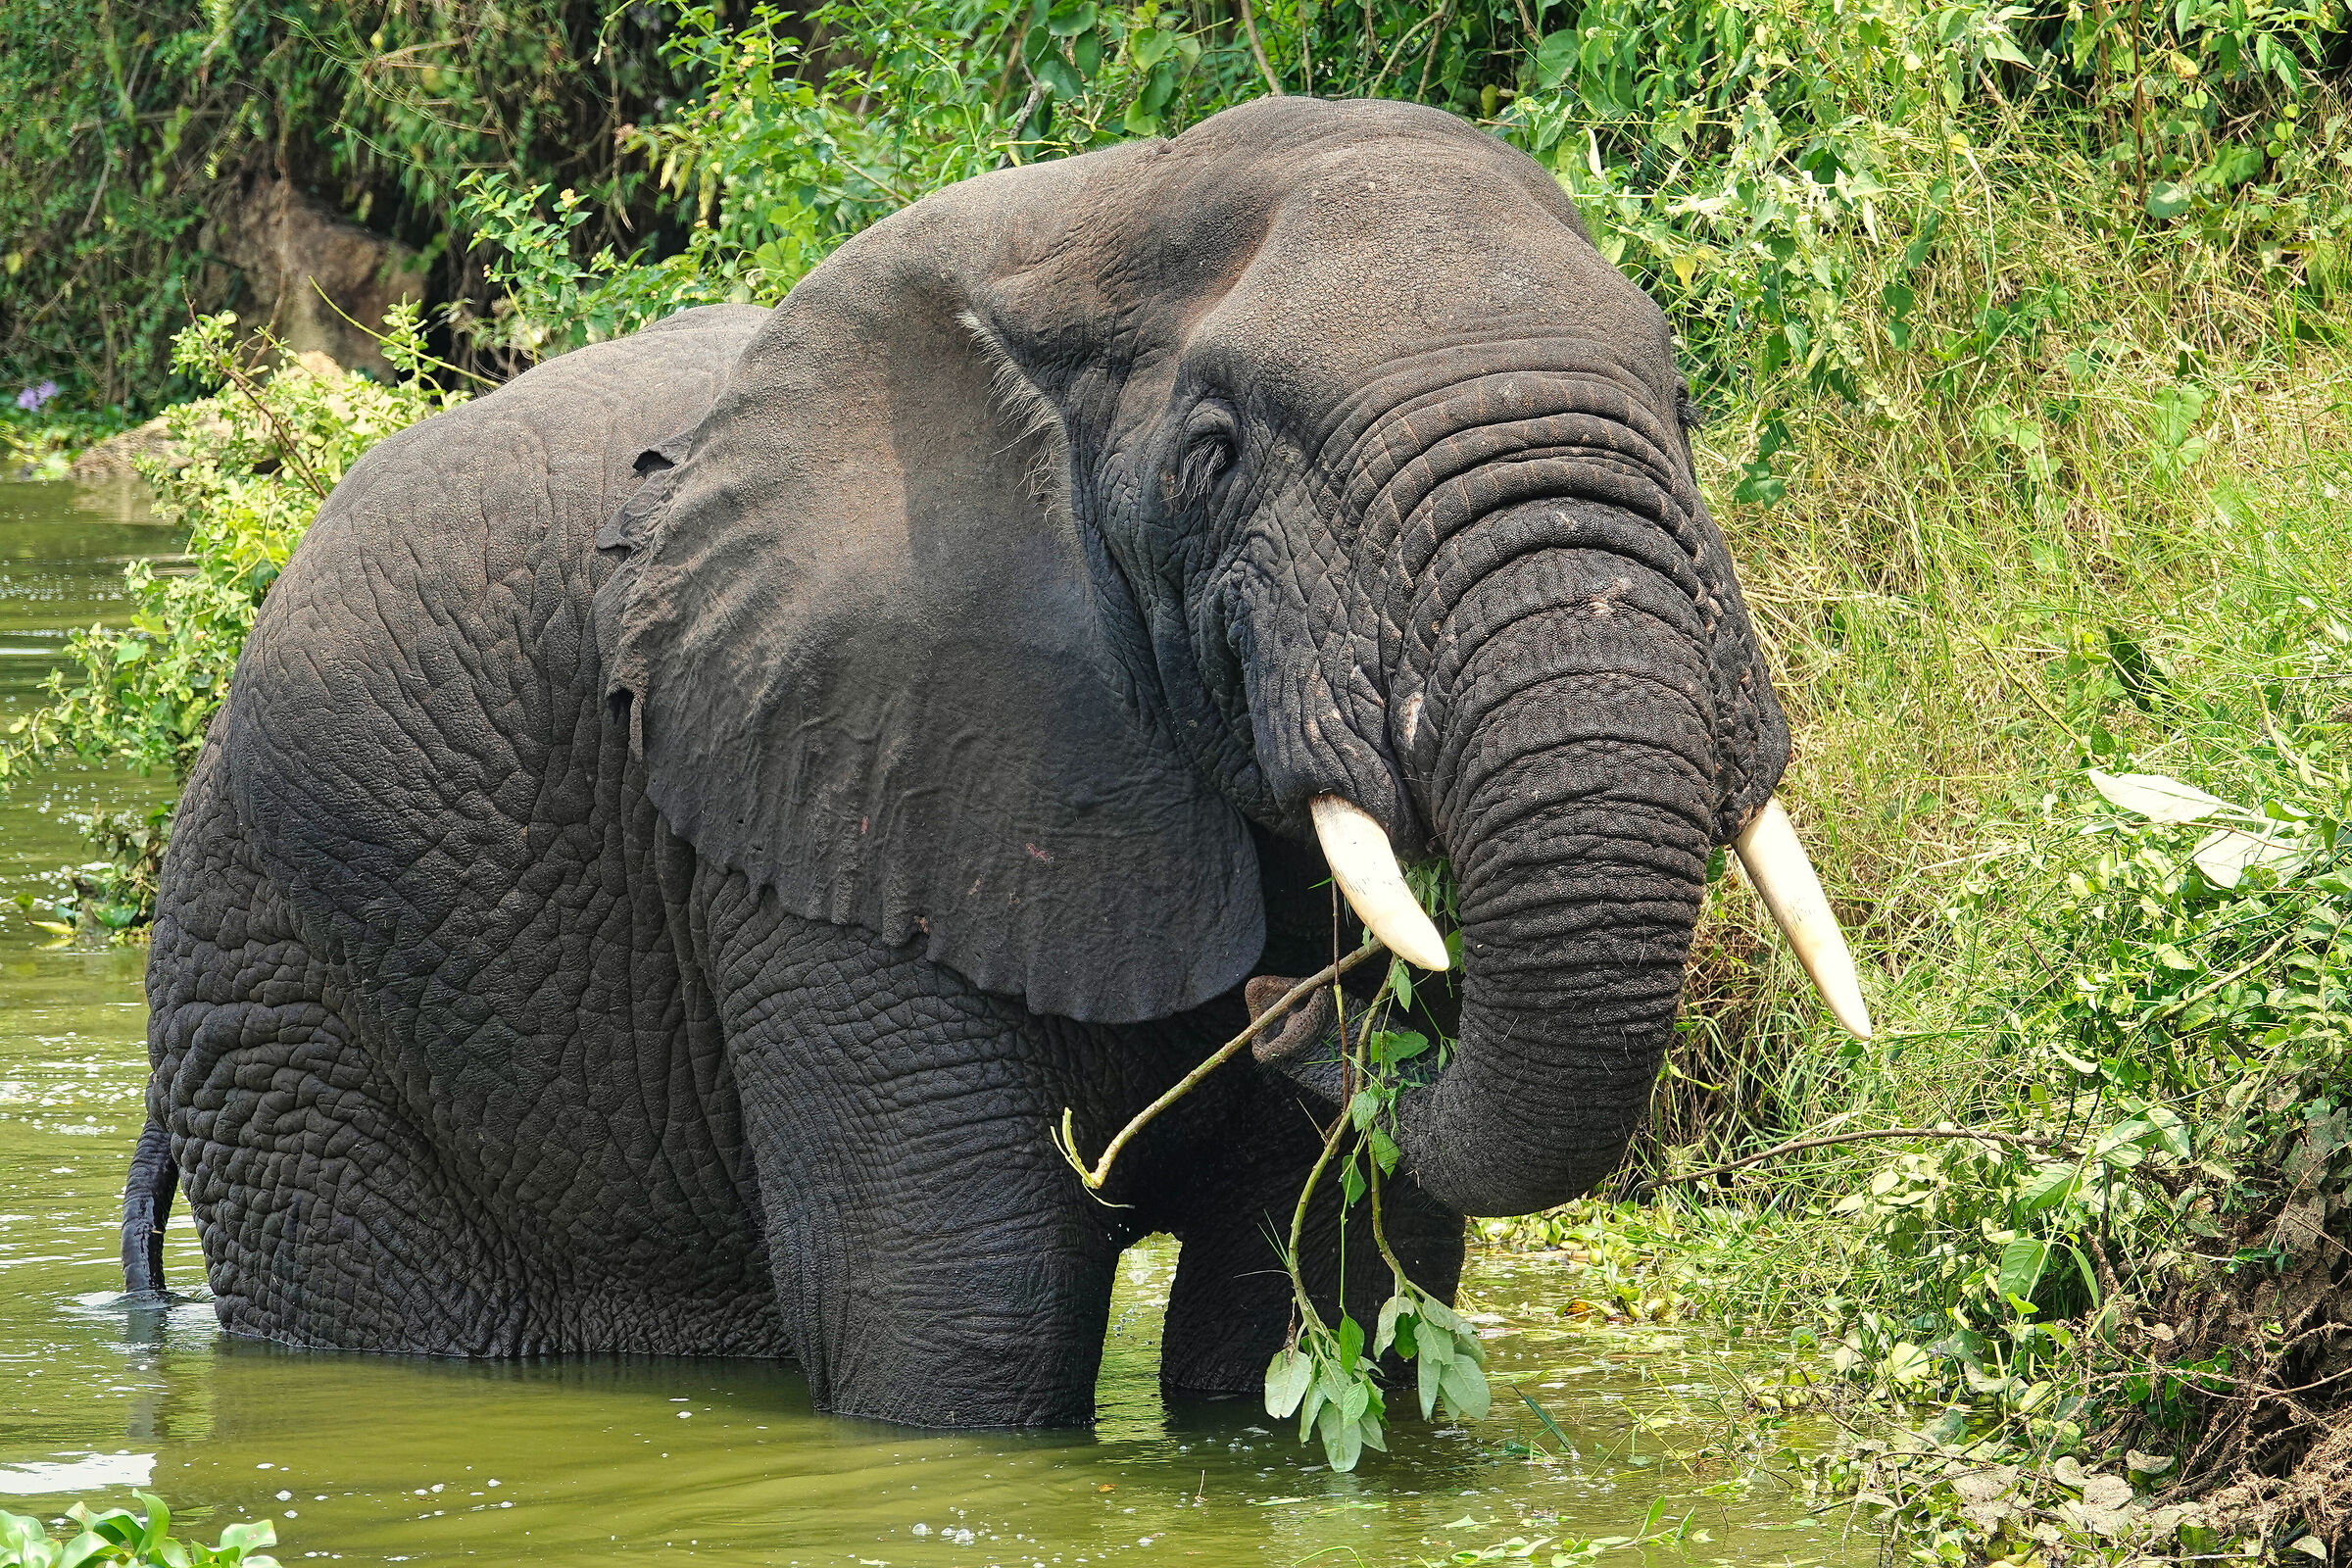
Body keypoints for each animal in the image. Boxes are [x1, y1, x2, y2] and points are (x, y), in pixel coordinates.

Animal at [120, 94, 1867, 1428]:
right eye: (1214, 460)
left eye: (1687, 405)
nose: (1291, 1007)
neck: (1101, 228)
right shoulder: (831, 786)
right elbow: (964, 1312)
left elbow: (1323, 1285)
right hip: (280, 1004)